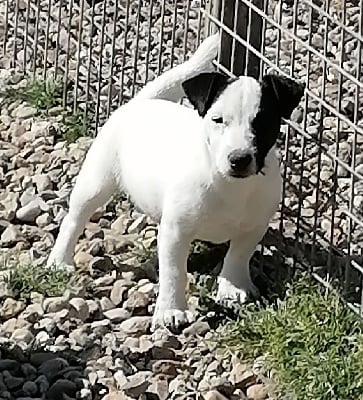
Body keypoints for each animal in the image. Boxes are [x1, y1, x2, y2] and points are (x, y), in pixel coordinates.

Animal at [47, 33, 306, 332]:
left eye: (263, 122)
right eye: (218, 120)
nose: (239, 159)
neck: (229, 185)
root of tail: (143, 102)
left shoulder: (254, 226)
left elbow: (239, 255)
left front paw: (232, 287)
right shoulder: (176, 232)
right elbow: (174, 271)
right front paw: (171, 310)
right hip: (97, 180)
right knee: (75, 218)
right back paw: (59, 259)